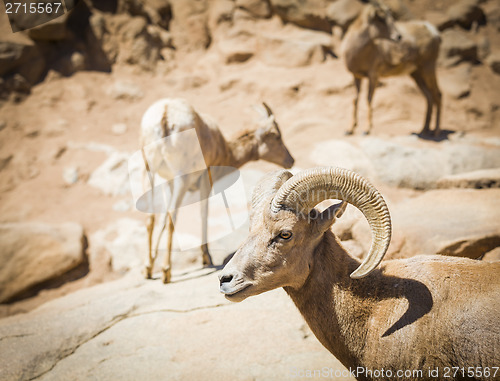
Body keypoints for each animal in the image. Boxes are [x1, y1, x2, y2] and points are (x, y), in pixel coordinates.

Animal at [139, 98, 294, 282]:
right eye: (276, 135)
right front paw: (207, 258)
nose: (291, 160)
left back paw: (148, 269)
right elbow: (203, 215)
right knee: (172, 217)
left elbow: (161, 219)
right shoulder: (206, 181)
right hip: (182, 178)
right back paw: (166, 271)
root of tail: (166, 113)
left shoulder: (168, 181)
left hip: (150, 171)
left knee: (151, 218)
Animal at [342, 1, 444, 137]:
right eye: (381, 18)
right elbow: (355, 100)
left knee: (437, 94)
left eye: (390, 16)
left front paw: (366, 130)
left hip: (428, 67)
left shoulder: (373, 76)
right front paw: (349, 130)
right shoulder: (356, 76)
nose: (398, 36)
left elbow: (369, 99)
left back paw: (436, 132)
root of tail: (435, 33)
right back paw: (423, 130)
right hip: (417, 74)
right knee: (429, 96)